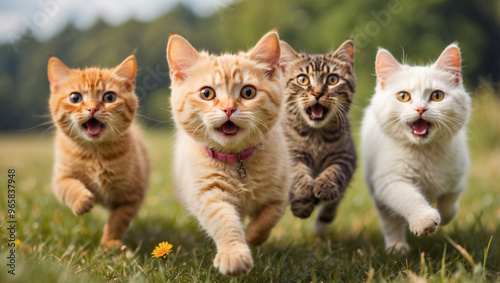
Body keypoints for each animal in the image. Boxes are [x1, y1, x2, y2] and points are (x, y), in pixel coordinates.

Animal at [48, 55, 150, 248]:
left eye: (109, 97)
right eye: (75, 97)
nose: (92, 108)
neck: (95, 155)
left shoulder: (133, 196)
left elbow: (118, 220)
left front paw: (110, 243)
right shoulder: (60, 178)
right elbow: (69, 186)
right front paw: (80, 200)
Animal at [166, 31, 290, 278]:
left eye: (248, 92)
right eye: (207, 93)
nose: (228, 108)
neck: (237, 160)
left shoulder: (281, 193)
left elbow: (268, 217)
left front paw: (252, 236)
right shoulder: (208, 193)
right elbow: (224, 221)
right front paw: (234, 253)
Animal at [280, 40, 358, 235]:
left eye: (332, 79)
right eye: (302, 79)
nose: (317, 93)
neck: (316, 136)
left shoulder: (346, 156)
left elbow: (335, 170)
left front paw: (325, 186)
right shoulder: (291, 155)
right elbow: (298, 175)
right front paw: (303, 201)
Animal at [362, 43, 470, 252]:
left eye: (437, 96)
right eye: (403, 96)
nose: (421, 108)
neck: (424, 151)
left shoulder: (458, 176)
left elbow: (450, 200)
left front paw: (445, 215)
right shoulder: (388, 180)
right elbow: (409, 197)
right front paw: (424, 220)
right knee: (390, 221)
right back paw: (397, 247)